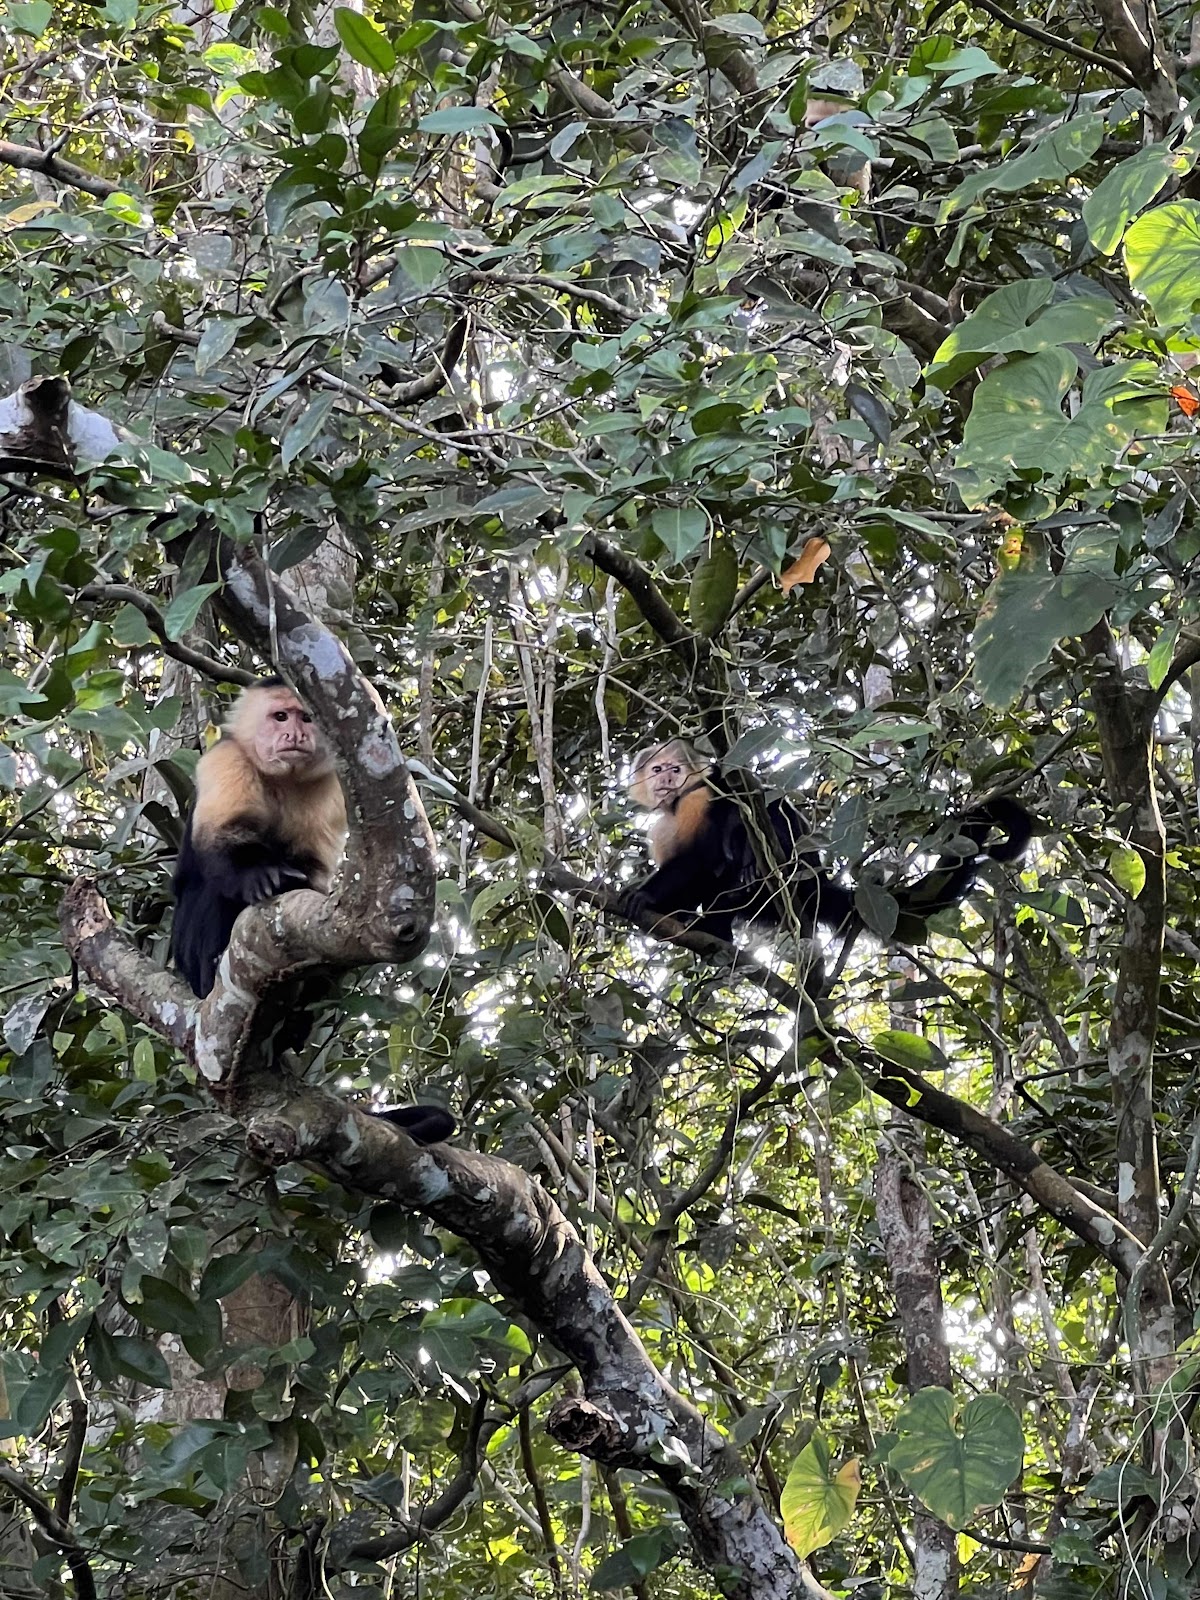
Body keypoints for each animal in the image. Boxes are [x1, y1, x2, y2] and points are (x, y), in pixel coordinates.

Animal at [170, 677, 347, 999]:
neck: (281, 776)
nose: (296, 735)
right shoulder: (226, 759)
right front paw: (260, 874)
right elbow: (223, 834)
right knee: (215, 891)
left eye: (306, 718)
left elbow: (312, 863)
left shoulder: (329, 785)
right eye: (281, 717)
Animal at [619, 740, 1032, 952]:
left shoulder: (698, 792)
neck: (676, 803)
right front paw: (664, 906)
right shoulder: (663, 824)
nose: (667, 780)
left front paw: (645, 896)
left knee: (754, 819)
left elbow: (707, 849)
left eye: (676, 769)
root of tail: (815, 885)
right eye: (658, 770)